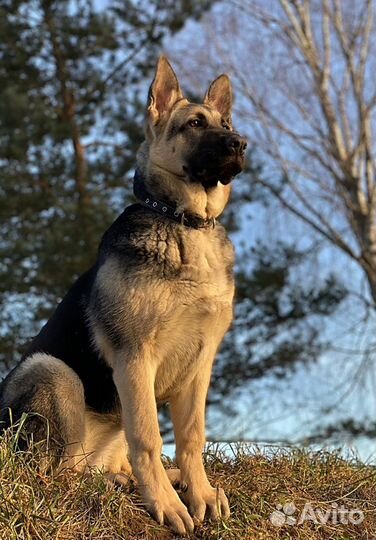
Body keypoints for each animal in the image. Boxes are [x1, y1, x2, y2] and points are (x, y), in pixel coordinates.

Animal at [0, 56, 247, 536]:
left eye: (226, 124)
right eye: (194, 123)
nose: (241, 143)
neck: (184, 222)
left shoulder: (201, 363)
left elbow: (192, 436)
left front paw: (201, 492)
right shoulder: (135, 356)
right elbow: (149, 437)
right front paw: (166, 503)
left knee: (99, 466)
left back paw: (142, 477)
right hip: (55, 373)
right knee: (59, 474)